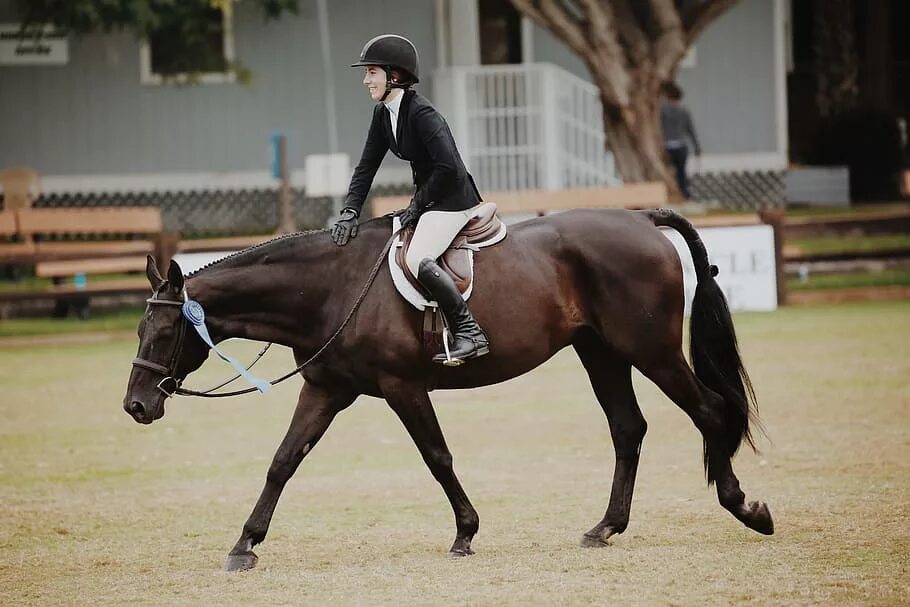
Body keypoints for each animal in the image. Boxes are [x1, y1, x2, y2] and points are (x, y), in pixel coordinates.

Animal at [123, 207, 776, 572]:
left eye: (163, 333)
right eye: (140, 330)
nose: (136, 406)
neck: (331, 288)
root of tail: (641, 220)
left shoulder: (403, 387)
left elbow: (437, 457)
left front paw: (465, 533)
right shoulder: (326, 389)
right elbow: (284, 462)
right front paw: (245, 544)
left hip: (651, 351)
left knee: (709, 410)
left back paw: (744, 507)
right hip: (600, 353)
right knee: (628, 429)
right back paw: (606, 527)